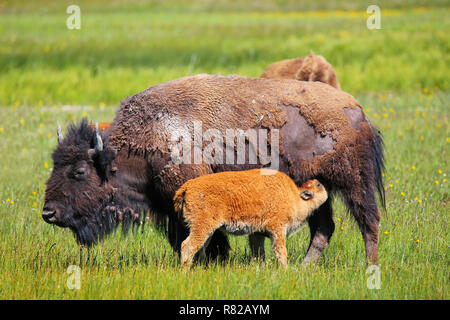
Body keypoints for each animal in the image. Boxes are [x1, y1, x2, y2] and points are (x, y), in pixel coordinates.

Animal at [173, 169, 326, 268]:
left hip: (206, 230)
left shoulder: (257, 234)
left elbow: (259, 253)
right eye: (318, 185)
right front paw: (284, 270)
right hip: (202, 226)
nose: (319, 181)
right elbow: (281, 251)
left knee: (200, 248)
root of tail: (186, 187)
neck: (294, 197)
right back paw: (185, 272)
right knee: (187, 246)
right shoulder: (278, 230)